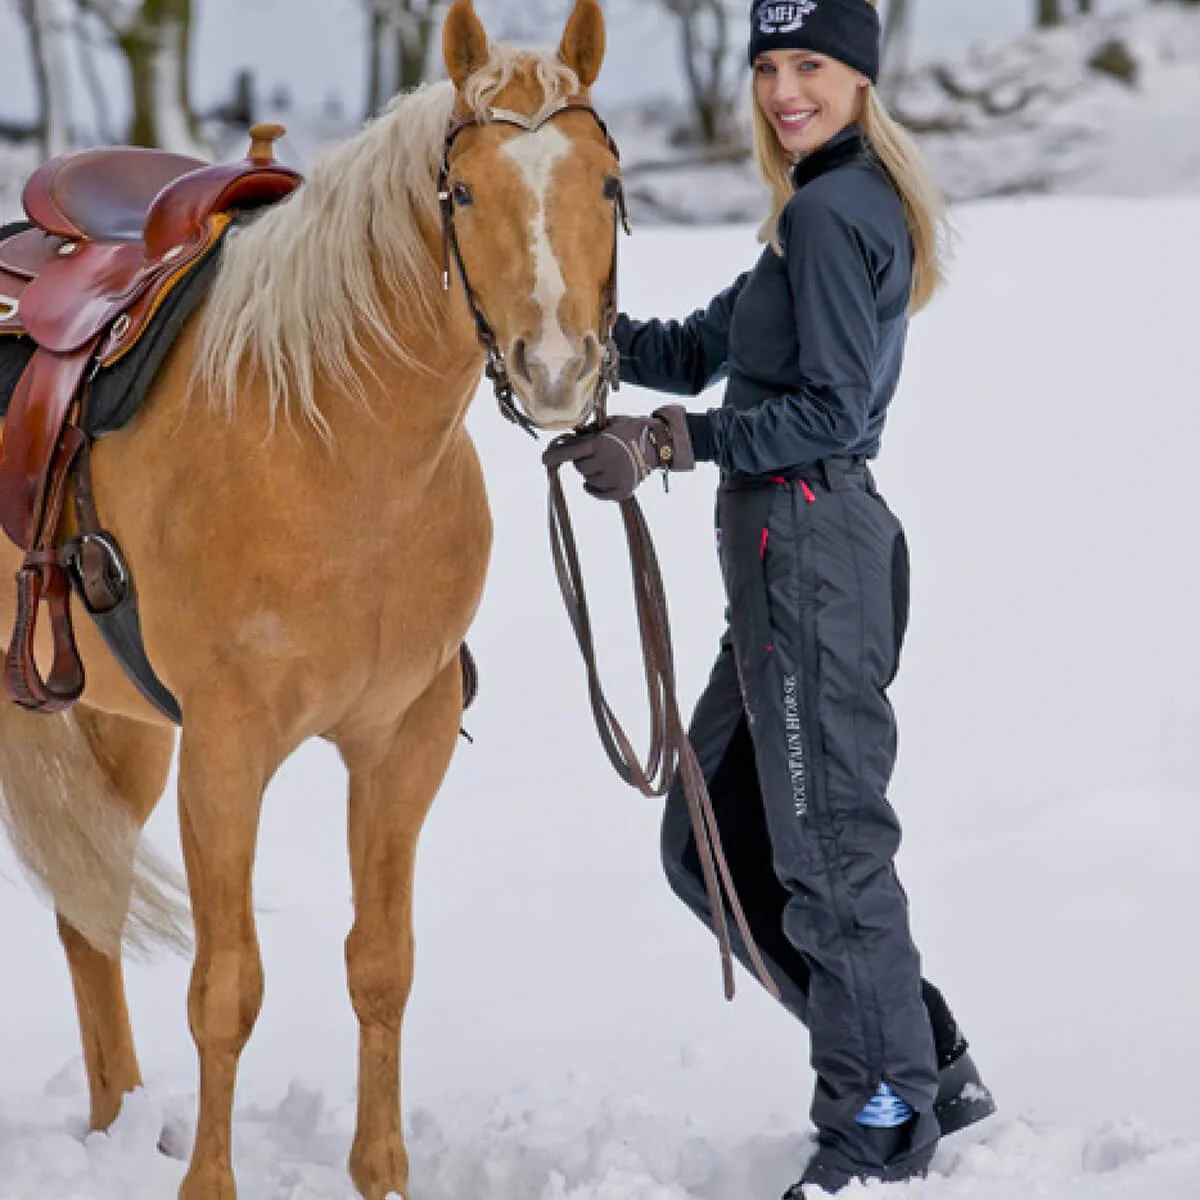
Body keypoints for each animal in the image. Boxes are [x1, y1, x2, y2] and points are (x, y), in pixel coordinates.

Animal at [0, 1, 622, 1196]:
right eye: (462, 193)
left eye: (609, 183)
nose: (558, 369)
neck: (330, 444)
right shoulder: (226, 752)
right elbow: (225, 988)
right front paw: (208, 1184)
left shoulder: (400, 737)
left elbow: (381, 965)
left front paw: (381, 1172)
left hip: (114, 722)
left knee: (88, 916)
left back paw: (117, 1125)